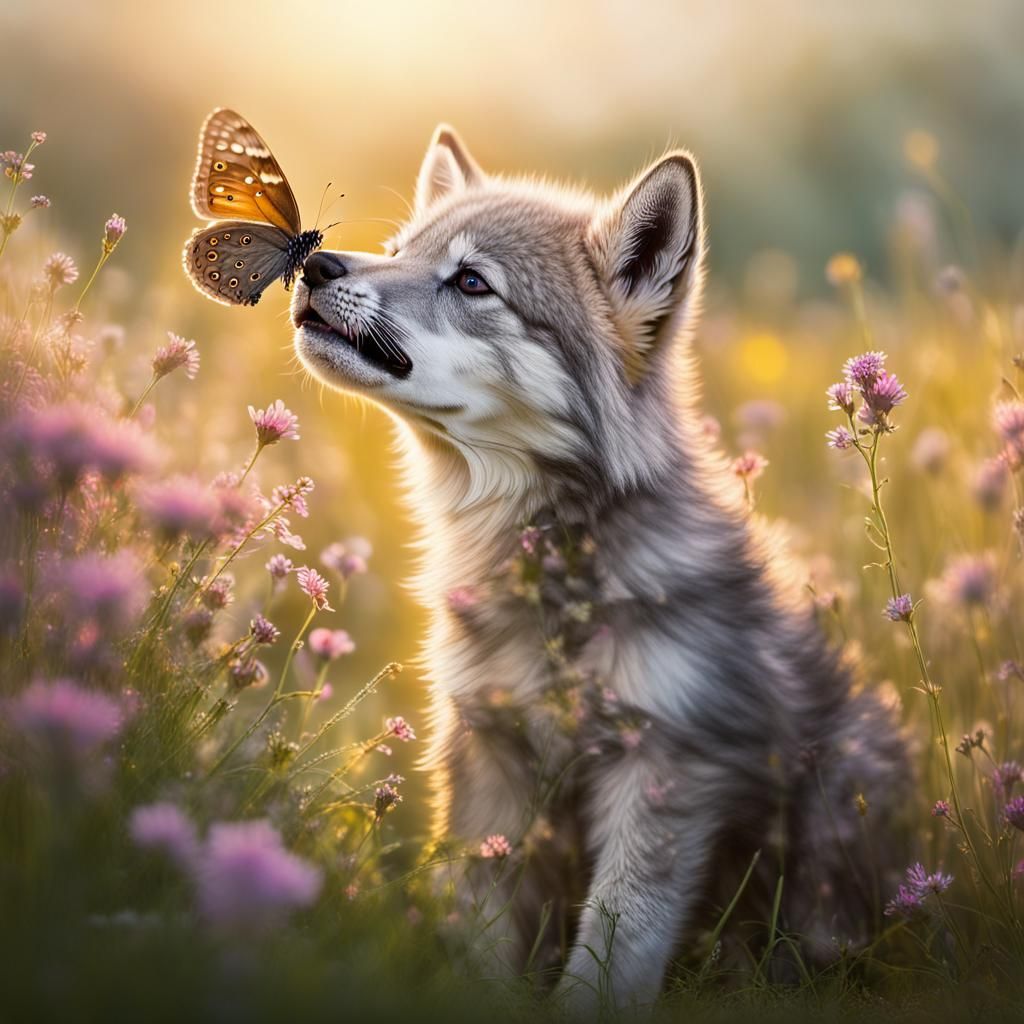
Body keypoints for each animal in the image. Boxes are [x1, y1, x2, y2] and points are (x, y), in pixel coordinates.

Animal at [291, 125, 909, 1011]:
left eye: (471, 281)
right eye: (398, 250)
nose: (316, 266)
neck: (559, 571)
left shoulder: (663, 774)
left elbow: (610, 958)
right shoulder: (490, 763)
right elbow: (480, 939)